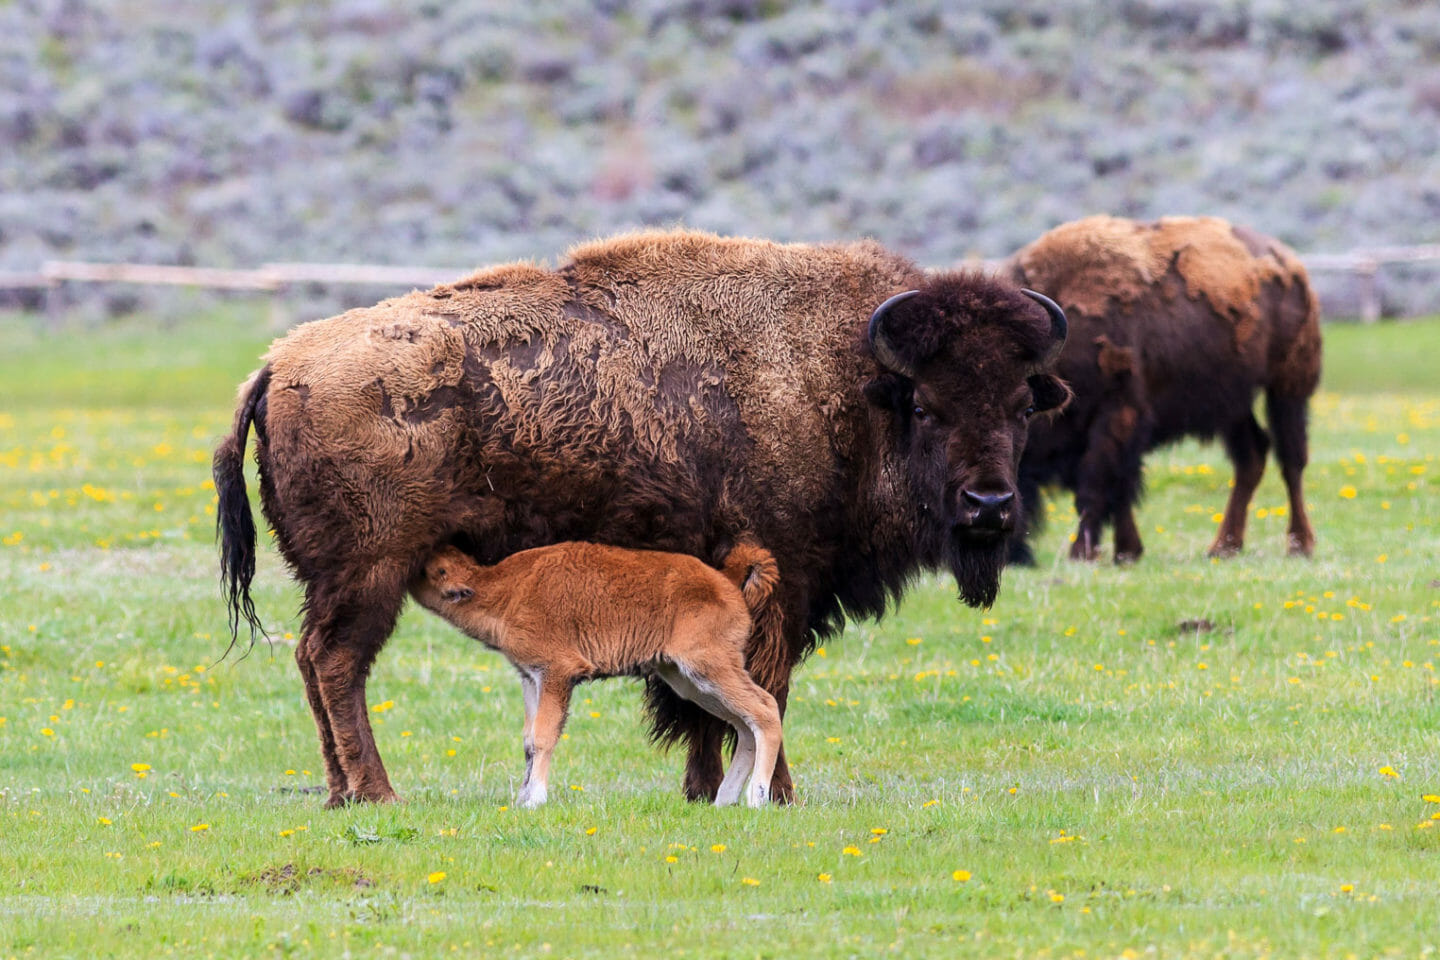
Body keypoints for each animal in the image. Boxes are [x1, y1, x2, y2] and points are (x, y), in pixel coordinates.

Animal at [411, 544, 783, 805]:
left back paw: (756, 799)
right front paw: (521, 798)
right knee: (744, 725)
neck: (507, 587)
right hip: (689, 680)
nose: (417, 563)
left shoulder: (557, 673)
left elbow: (544, 736)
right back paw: (724, 800)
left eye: (438, 570)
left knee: (765, 710)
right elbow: (529, 740)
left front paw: (535, 800)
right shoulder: (531, 678)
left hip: (710, 668)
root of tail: (726, 580)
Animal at [1008, 215, 1319, 564]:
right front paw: (1127, 551)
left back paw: (1299, 545)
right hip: (1231, 402)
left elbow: (1097, 483)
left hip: (1288, 387)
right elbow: (1120, 487)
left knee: (1291, 460)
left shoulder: (1118, 414)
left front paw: (1084, 553)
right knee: (1251, 455)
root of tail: (1289, 261)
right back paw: (1223, 547)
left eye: (1025, 410)